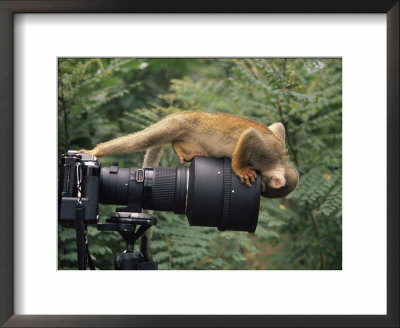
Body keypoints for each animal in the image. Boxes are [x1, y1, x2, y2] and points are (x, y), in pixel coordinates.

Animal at [83, 111, 298, 196]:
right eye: (262, 187)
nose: (260, 189)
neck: (278, 161)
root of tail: (183, 113)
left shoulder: (277, 140)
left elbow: (277, 126)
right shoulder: (267, 152)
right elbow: (250, 134)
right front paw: (240, 168)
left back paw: (178, 147)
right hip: (177, 124)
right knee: (143, 140)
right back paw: (97, 150)